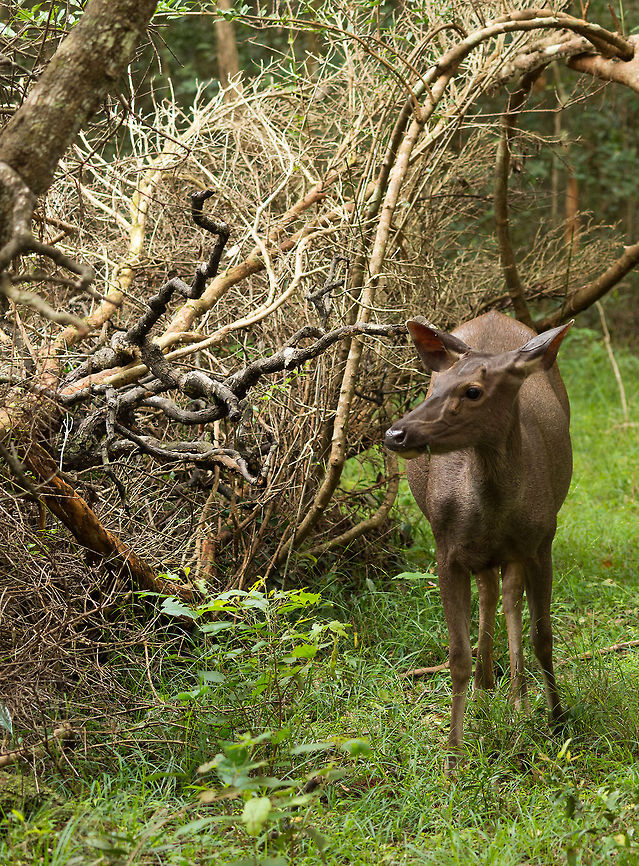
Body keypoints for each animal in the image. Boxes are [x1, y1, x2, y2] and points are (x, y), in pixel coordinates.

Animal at [384, 311, 573, 760]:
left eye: (473, 391)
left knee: (508, 598)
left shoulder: (543, 540)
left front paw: (557, 719)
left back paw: (516, 698)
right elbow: (457, 655)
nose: (395, 434)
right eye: (437, 386)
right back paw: (487, 688)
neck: (495, 513)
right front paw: (454, 754)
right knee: (491, 592)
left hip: (519, 548)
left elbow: (543, 636)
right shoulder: (446, 548)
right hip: (482, 553)